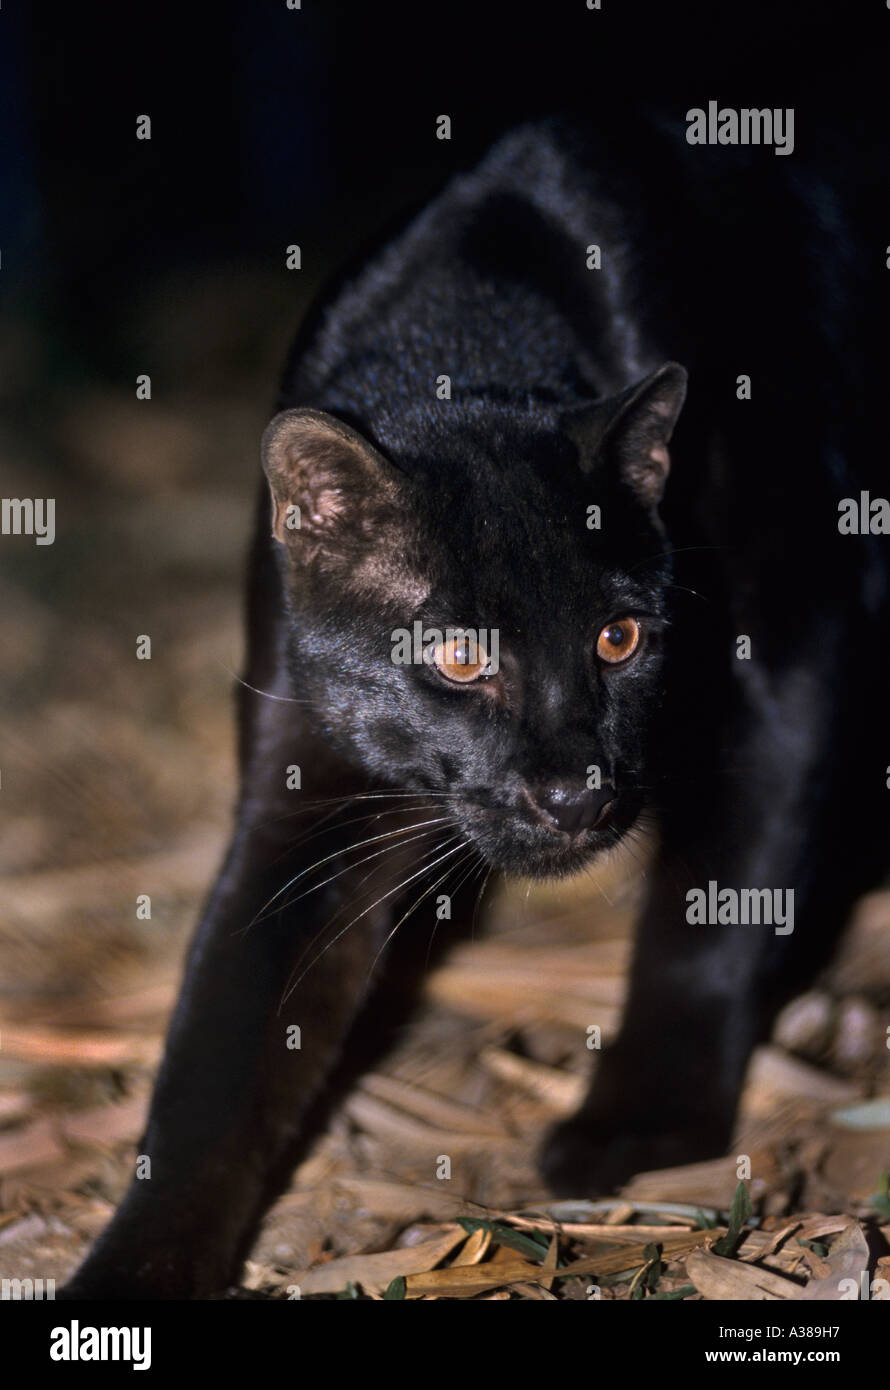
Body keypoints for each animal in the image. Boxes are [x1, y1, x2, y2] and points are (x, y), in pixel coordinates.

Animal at [67, 113, 890, 1295]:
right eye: (459, 656)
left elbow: (717, 905)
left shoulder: (794, 648)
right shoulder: (305, 789)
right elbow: (220, 1053)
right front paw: (131, 1270)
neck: (474, 342)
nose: (573, 795)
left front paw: (637, 1133)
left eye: (618, 637)